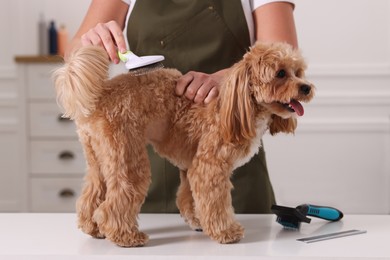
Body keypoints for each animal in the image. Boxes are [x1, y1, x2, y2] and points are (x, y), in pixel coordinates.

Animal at [53, 41, 314, 247]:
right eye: (280, 74)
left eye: (298, 71)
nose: (306, 87)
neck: (237, 105)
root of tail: (100, 96)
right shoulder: (210, 167)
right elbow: (216, 203)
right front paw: (226, 232)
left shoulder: (191, 167)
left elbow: (190, 198)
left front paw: (198, 222)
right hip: (128, 159)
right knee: (114, 202)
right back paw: (125, 236)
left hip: (100, 159)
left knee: (91, 194)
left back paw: (93, 228)